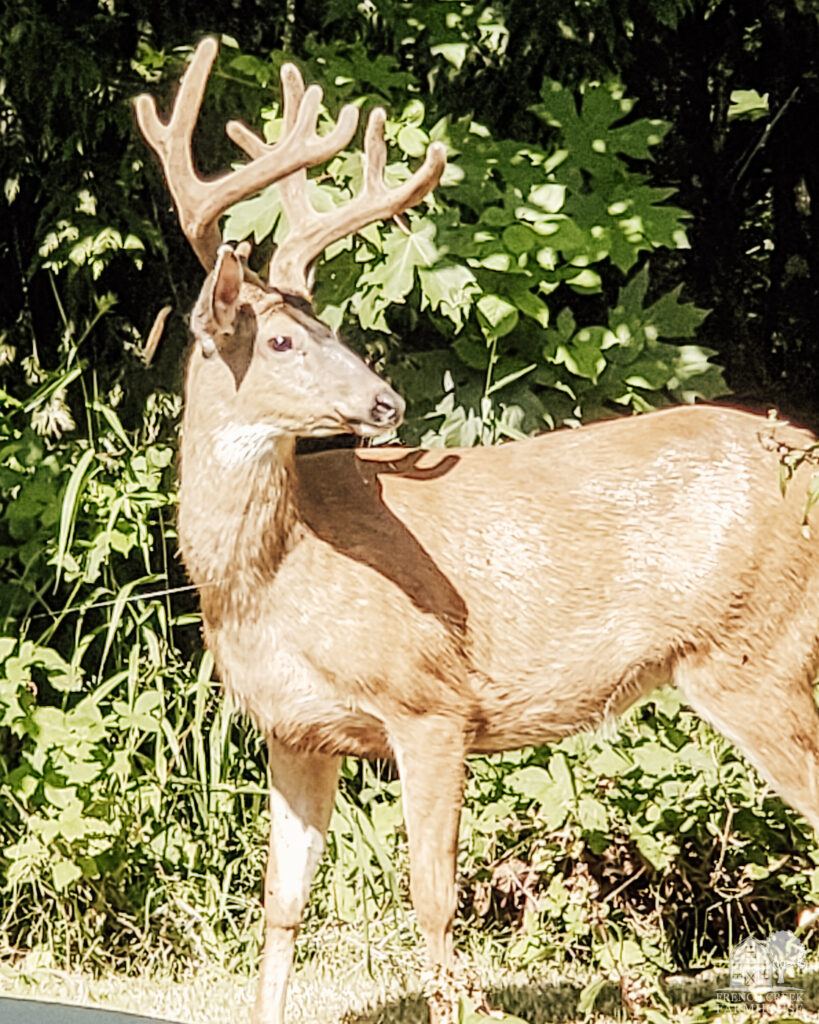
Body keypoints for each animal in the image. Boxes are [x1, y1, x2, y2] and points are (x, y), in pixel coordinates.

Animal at [136, 39, 819, 1024]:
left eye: (328, 329)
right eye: (282, 341)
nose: (385, 402)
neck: (273, 576)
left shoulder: (429, 701)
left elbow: (431, 897)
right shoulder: (293, 728)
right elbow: (280, 904)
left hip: (757, 650)